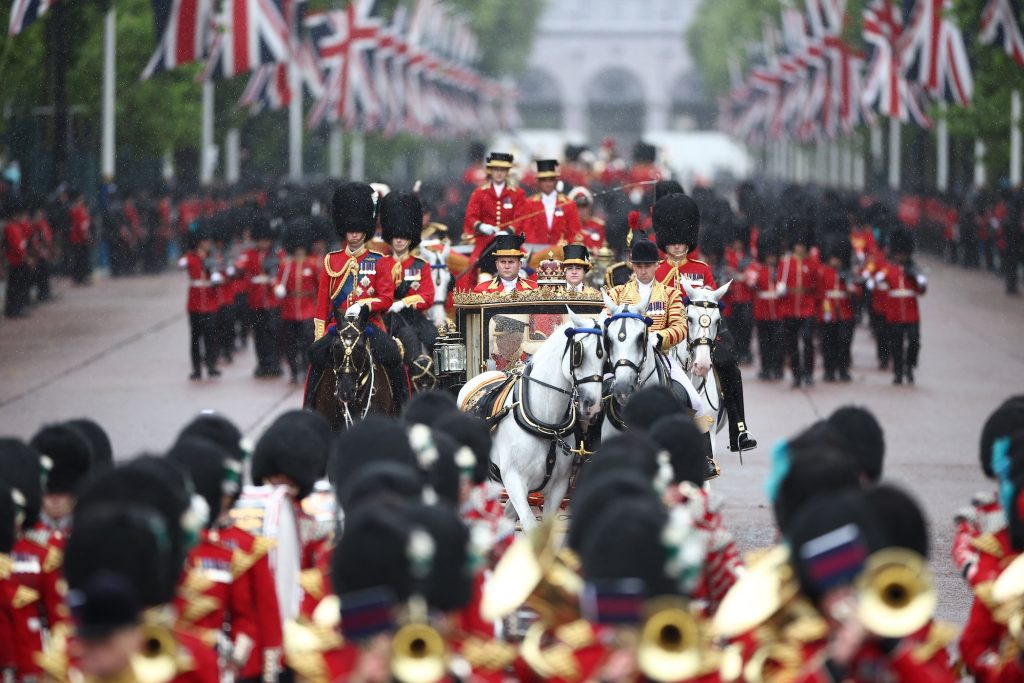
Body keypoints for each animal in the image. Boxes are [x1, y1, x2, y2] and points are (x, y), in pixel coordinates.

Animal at [458, 309, 606, 528]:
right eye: (577, 354)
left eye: (606, 356)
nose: (592, 404)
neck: (548, 427)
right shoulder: (513, 480)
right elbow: (528, 523)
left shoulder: (558, 486)